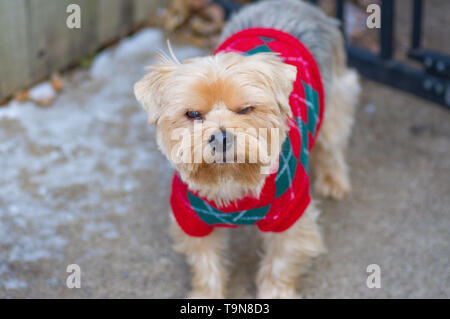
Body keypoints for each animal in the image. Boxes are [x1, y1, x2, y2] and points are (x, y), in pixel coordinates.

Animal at [134, 0, 362, 300]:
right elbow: (205, 264)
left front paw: (275, 293)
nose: (221, 138)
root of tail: (292, 4)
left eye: (246, 109)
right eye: (192, 114)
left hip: (336, 100)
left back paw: (333, 181)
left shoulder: (291, 215)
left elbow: (280, 263)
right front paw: (207, 295)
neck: (231, 180)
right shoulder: (192, 220)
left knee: (332, 144)